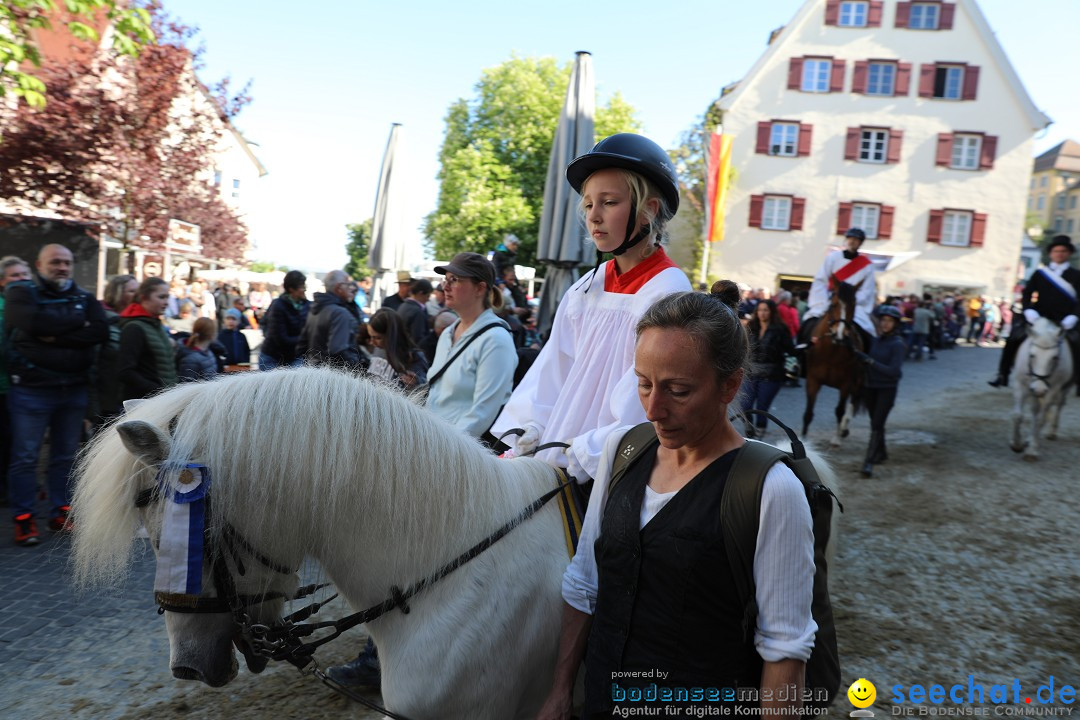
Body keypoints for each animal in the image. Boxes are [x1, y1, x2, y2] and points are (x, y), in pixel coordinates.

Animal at [807, 276, 864, 444]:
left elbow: (839, 410)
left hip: (858, 380)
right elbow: (808, 413)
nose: (840, 335)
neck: (831, 354)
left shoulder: (846, 384)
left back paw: (844, 428)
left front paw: (836, 439)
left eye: (854, 305)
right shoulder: (812, 380)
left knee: (853, 401)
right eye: (833, 304)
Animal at [1010, 317, 1071, 462]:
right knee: (1035, 410)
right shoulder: (1019, 385)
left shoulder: (1052, 390)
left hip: (1062, 390)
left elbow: (1040, 420)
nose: (1039, 389)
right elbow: (1017, 415)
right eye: (1032, 355)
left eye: (1054, 357)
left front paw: (1032, 451)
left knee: (1058, 406)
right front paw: (1016, 444)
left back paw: (1050, 433)